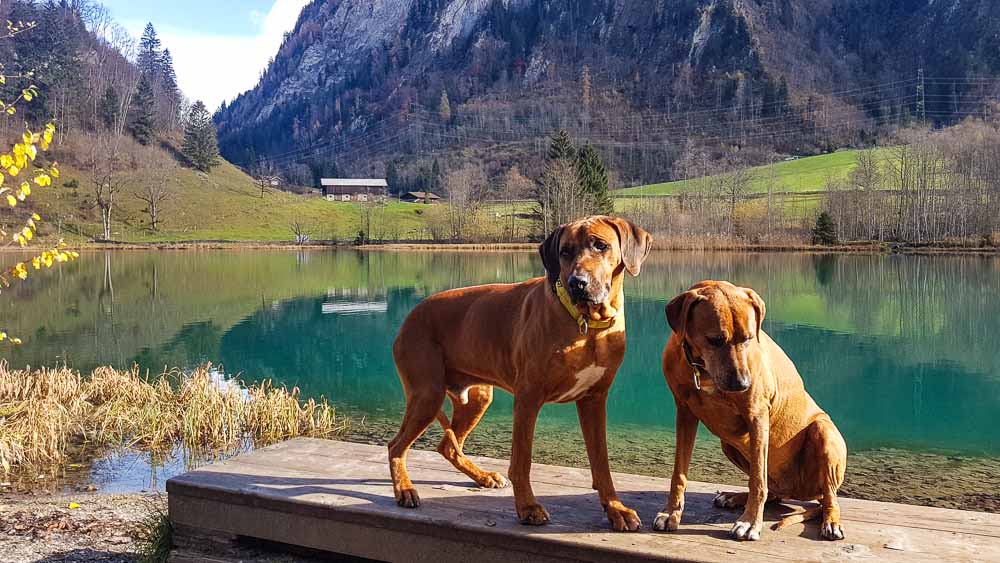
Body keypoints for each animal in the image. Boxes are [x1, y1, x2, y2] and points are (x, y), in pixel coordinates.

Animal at [390, 216, 656, 532]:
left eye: (601, 245)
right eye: (565, 252)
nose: (577, 283)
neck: (587, 324)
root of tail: (410, 315)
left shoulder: (594, 400)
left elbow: (601, 462)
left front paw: (615, 509)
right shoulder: (528, 398)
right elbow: (522, 459)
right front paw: (528, 507)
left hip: (477, 398)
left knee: (448, 446)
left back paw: (483, 477)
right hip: (427, 395)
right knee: (396, 446)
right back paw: (405, 489)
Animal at [652, 282, 848, 540]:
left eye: (747, 338)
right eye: (714, 340)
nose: (742, 384)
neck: (702, 369)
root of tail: (799, 491)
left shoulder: (757, 416)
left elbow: (757, 481)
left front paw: (750, 522)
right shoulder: (684, 412)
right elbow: (679, 473)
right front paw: (671, 513)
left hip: (823, 432)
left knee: (829, 496)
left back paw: (831, 520)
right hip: (729, 444)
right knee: (774, 492)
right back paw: (733, 497)